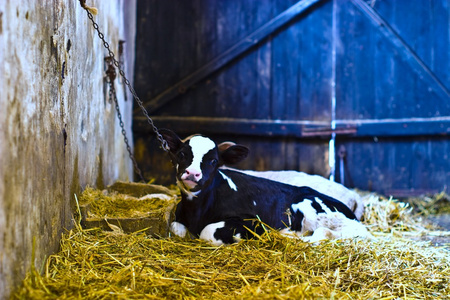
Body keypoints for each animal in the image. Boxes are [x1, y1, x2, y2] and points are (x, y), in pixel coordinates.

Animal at [160, 129, 370, 246]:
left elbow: (208, 232)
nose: (193, 173)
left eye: (213, 161)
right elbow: (175, 228)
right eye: (181, 154)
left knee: (330, 232)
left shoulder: (252, 222)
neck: (197, 211)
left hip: (309, 207)